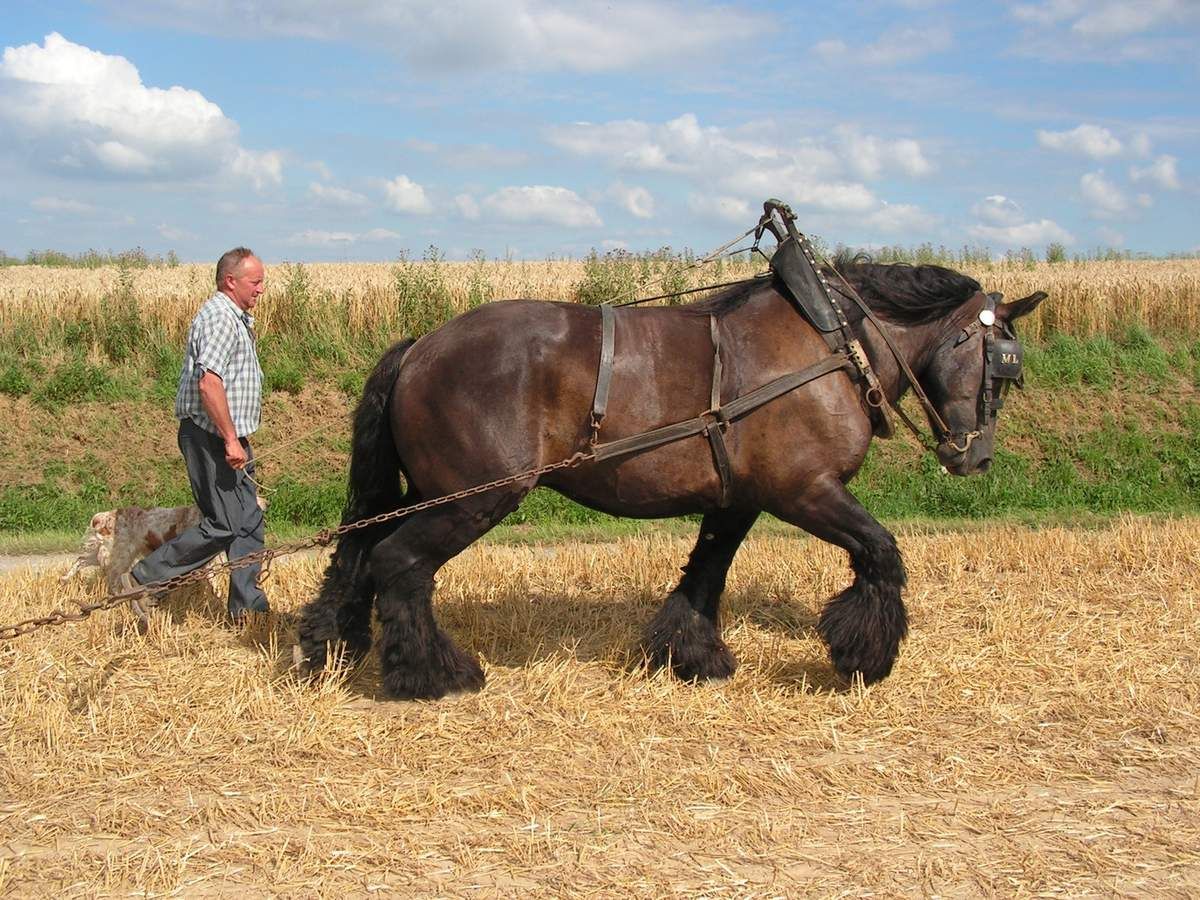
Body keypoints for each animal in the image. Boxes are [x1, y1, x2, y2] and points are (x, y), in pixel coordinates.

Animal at [296, 255, 1046, 699]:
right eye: (1001, 366)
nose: (975, 456)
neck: (831, 344)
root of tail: (419, 346)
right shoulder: (806, 491)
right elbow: (881, 552)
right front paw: (865, 653)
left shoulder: (739, 499)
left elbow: (706, 573)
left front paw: (691, 654)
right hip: (477, 497)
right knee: (400, 561)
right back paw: (430, 673)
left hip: (426, 492)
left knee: (361, 553)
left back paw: (334, 644)